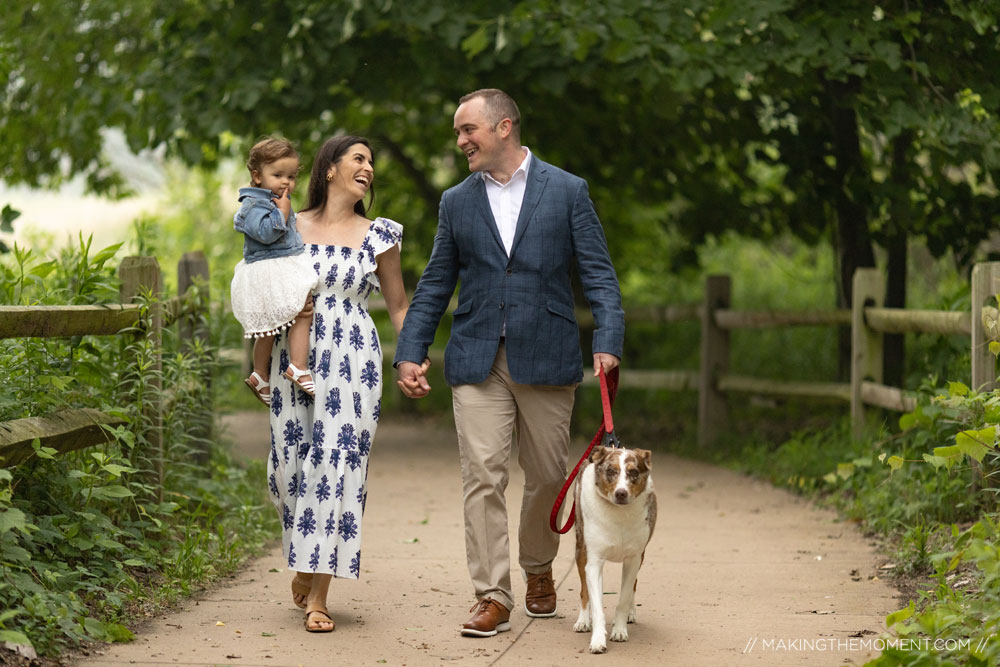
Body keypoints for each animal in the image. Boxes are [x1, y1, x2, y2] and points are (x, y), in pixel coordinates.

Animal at [572, 446, 656, 656]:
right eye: (611, 471)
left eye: (633, 472)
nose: (621, 493)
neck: (619, 515)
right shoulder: (593, 562)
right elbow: (596, 604)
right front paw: (597, 640)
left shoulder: (634, 558)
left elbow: (624, 597)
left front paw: (619, 630)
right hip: (580, 549)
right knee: (584, 591)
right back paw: (583, 621)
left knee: (633, 585)